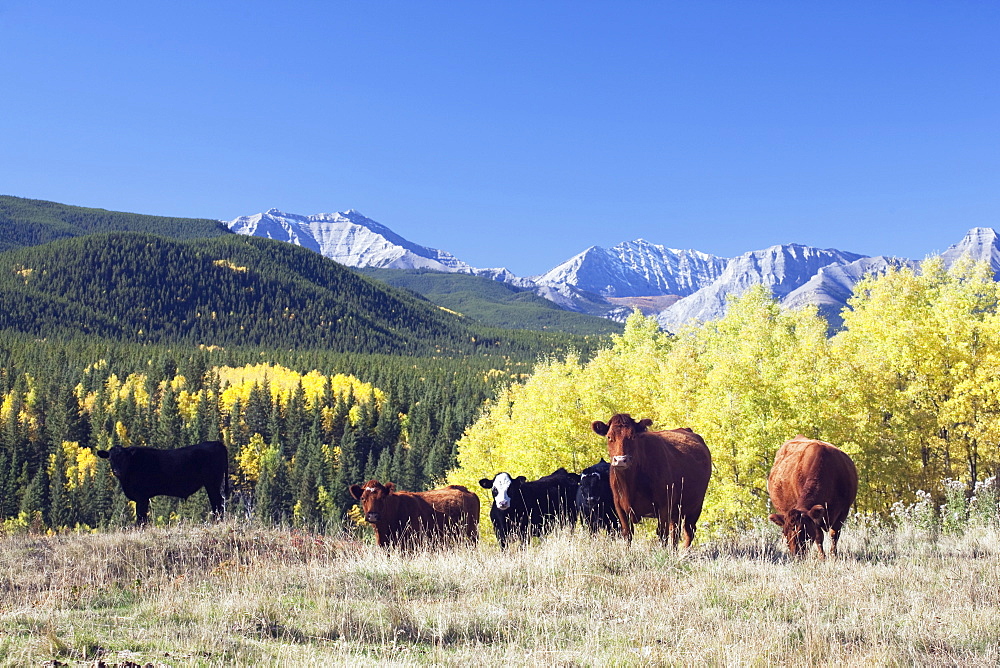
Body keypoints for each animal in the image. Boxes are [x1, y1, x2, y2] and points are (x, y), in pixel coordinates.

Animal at [96, 440, 229, 524]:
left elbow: (141, 516)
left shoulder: (142, 496)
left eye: (124, 458)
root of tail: (217, 443)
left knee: (217, 501)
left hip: (212, 482)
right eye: (110, 458)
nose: (117, 471)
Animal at [592, 412, 712, 548]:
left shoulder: (664, 505)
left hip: (695, 505)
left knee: (688, 531)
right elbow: (627, 534)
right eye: (609, 437)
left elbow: (662, 534)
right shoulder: (620, 507)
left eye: (633, 436)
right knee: (675, 532)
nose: (621, 460)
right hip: (677, 509)